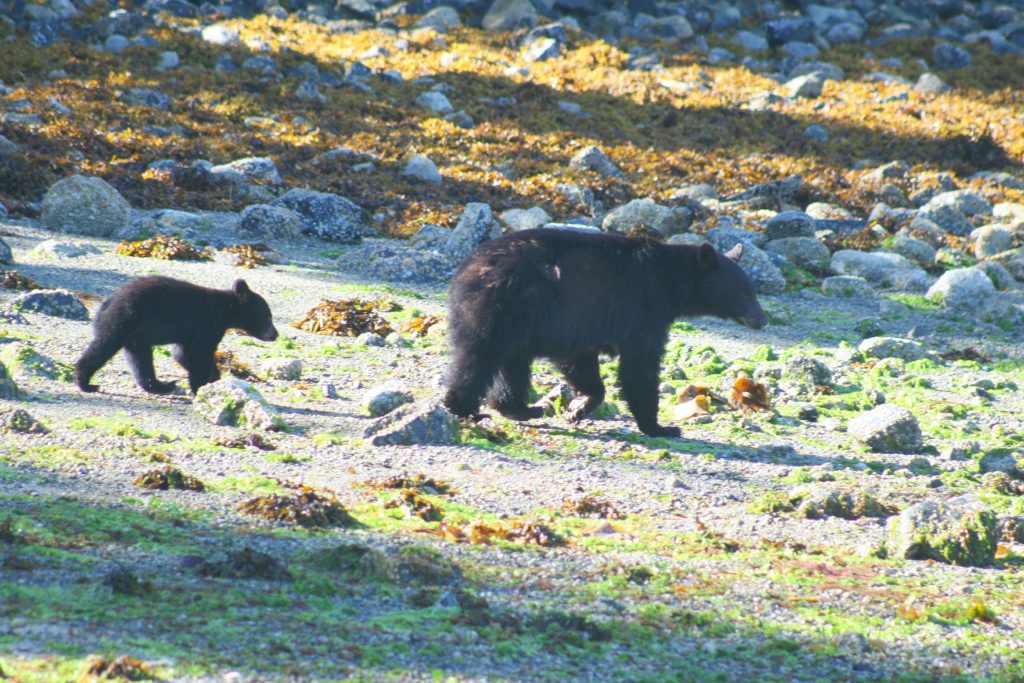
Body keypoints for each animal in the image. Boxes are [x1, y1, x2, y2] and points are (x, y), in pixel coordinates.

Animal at [74, 276, 280, 395]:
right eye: (268, 316)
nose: (275, 334)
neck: (227, 311)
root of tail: (106, 302)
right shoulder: (208, 324)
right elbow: (198, 353)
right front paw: (199, 387)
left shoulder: (190, 332)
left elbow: (183, 354)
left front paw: (214, 377)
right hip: (124, 320)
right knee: (104, 345)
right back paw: (85, 382)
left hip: (136, 334)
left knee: (141, 359)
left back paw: (161, 385)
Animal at [444, 229, 765, 438]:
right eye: (743, 292)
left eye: (753, 290)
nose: (761, 320)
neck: (669, 281)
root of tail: (464, 269)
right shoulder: (642, 308)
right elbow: (639, 366)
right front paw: (660, 427)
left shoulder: (579, 325)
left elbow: (579, 359)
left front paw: (578, 407)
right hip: (505, 304)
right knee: (479, 356)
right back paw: (465, 409)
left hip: (518, 319)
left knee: (512, 364)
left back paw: (520, 409)